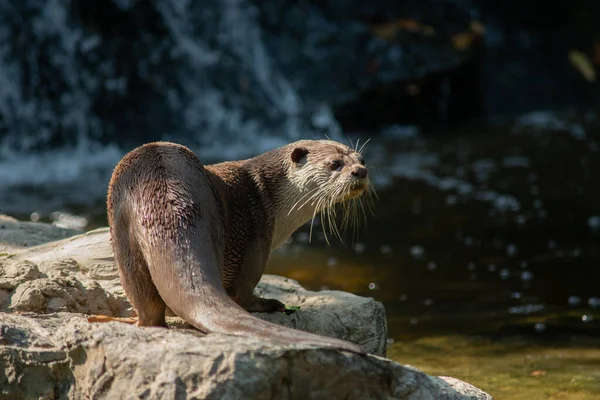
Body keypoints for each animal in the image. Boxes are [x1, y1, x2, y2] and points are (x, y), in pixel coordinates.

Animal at [105, 140, 372, 354]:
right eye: (334, 163)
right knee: (242, 293)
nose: (361, 171)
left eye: (362, 159)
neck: (267, 195)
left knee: (147, 306)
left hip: (122, 233)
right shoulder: (259, 230)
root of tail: (166, 199)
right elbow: (244, 287)